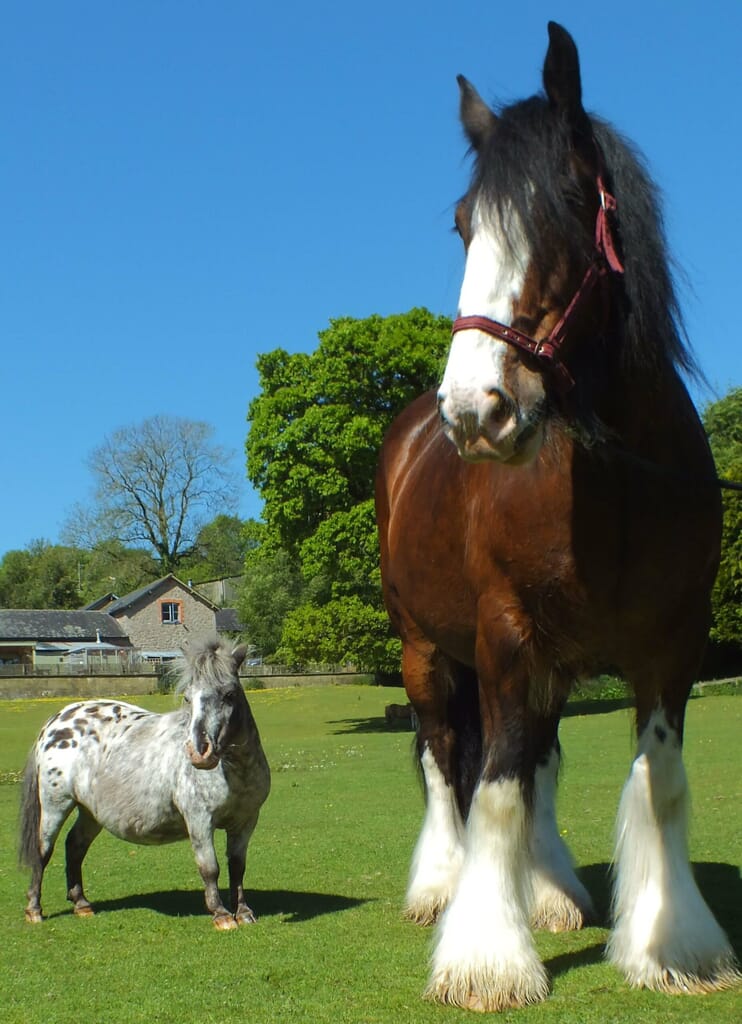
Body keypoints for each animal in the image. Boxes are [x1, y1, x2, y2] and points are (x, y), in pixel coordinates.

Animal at [19, 638, 270, 930]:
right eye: (188, 697)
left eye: (229, 694)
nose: (199, 752)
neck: (233, 771)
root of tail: (57, 721)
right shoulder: (199, 820)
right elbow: (209, 867)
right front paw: (221, 915)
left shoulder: (246, 822)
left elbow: (237, 866)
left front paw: (243, 912)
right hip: (54, 806)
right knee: (43, 851)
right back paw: (34, 909)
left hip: (91, 812)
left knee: (75, 846)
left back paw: (82, 904)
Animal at [375, 22, 740, 1012]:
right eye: (465, 225)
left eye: (568, 211)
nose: (476, 412)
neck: (611, 477)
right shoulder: (505, 633)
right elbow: (490, 788)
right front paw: (486, 959)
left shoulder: (671, 644)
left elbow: (658, 784)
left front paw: (670, 943)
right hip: (428, 652)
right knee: (443, 758)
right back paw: (442, 884)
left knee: (534, 758)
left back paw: (549, 889)